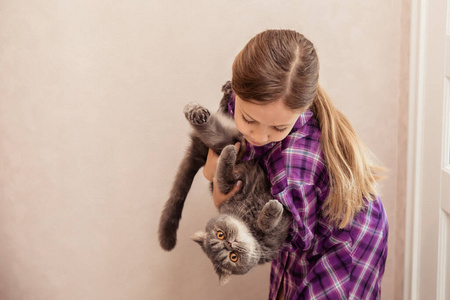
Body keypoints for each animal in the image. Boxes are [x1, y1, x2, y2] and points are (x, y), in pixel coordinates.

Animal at [158, 81, 292, 284]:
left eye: (220, 234)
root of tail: (198, 151)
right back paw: (197, 111)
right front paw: (272, 209)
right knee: (209, 126)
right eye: (232, 257)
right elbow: (224, 177)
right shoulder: (228, 187)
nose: (230, 243)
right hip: (219, 137)